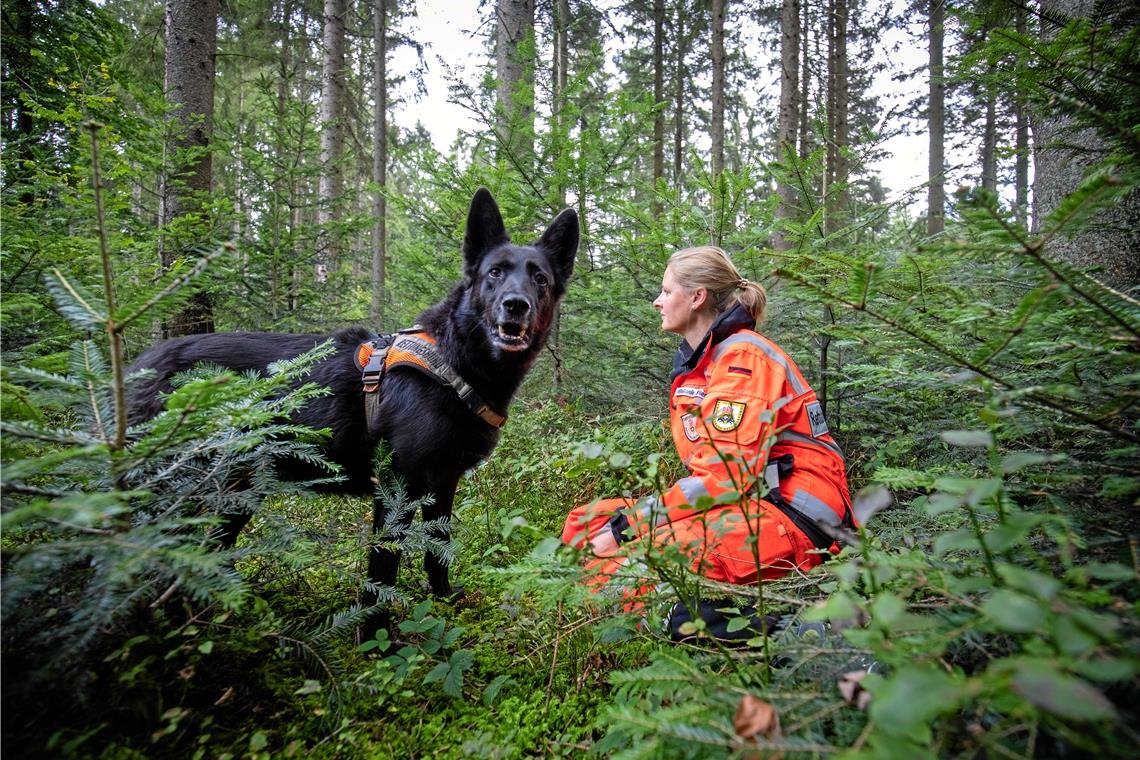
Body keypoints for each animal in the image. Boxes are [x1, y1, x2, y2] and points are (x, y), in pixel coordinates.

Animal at [129, 189, 583, 638]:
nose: (516, 306)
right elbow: (383, 567)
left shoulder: (443, 483)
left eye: (540, 279)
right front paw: (376, 635)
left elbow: (438, 549)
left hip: (237, 489)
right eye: (495, 273)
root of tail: (138, 364)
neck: (455, 361)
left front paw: (445, 599)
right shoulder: (397, 487)